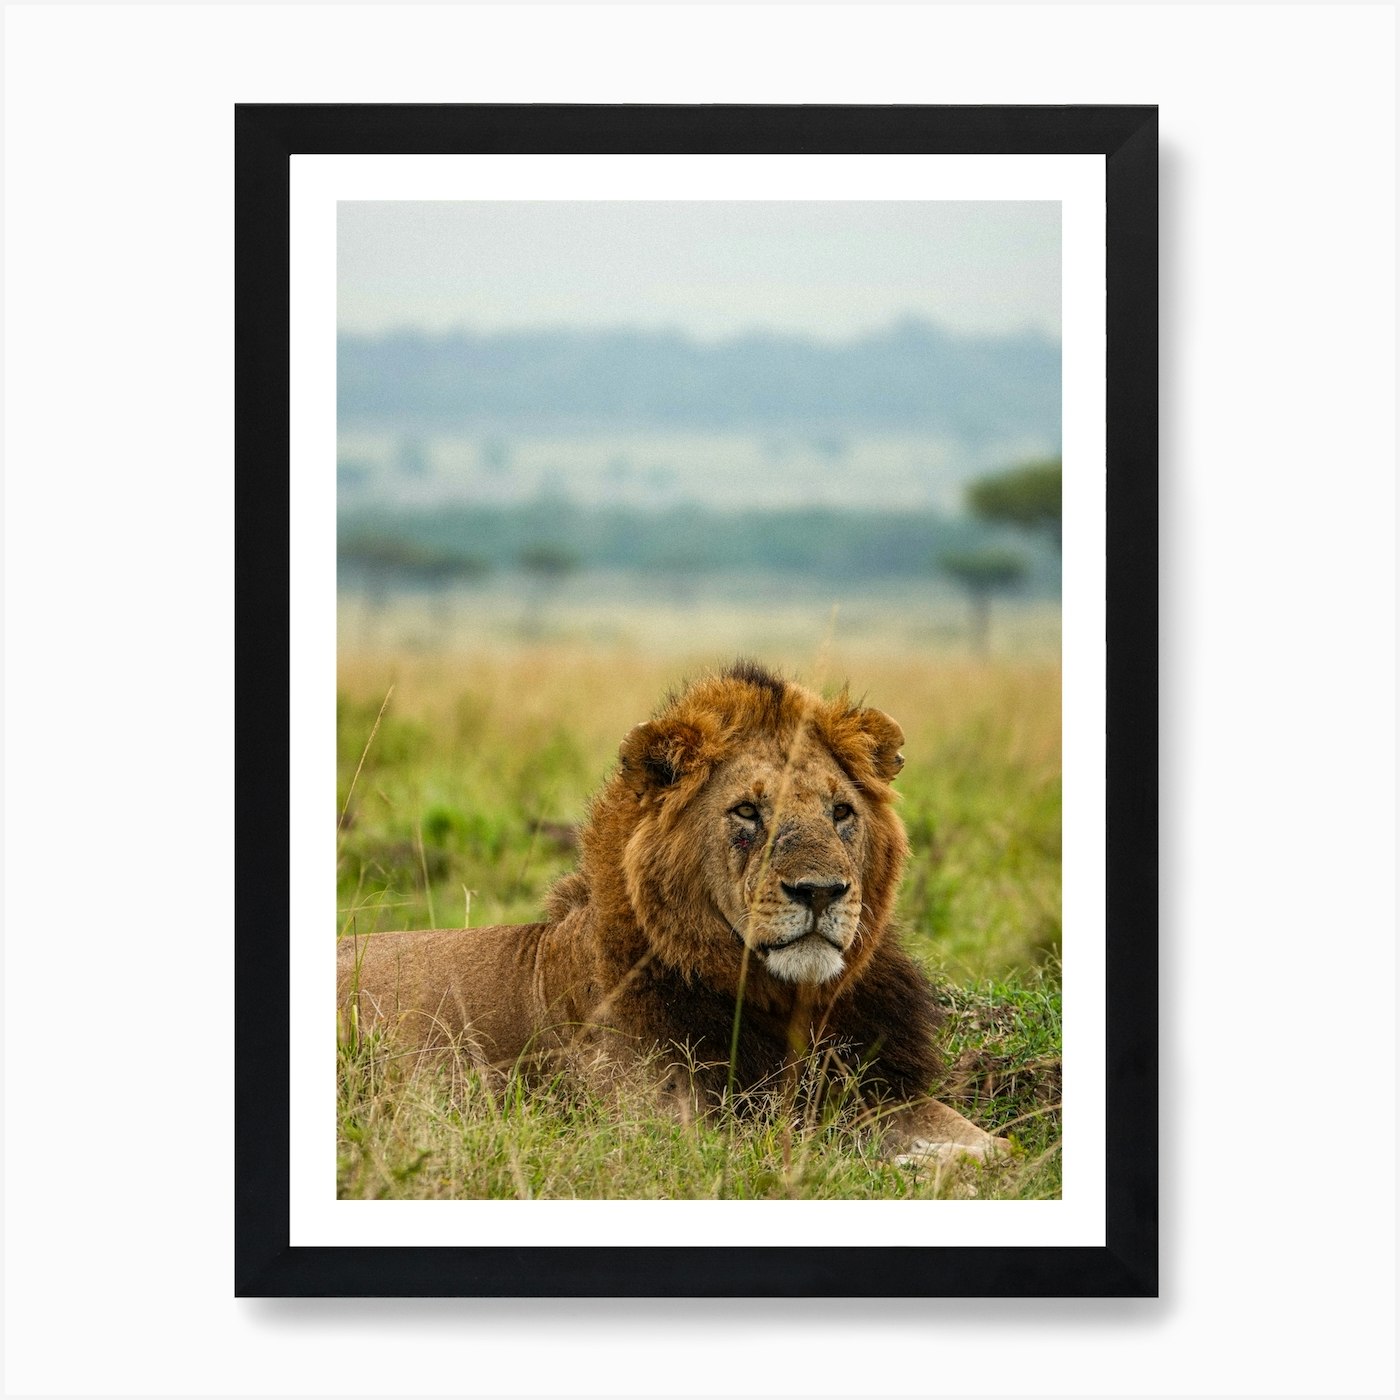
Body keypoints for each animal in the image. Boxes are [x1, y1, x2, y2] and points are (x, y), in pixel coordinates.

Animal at [338, 660, 1006, 1164]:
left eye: (841, 812)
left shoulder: (872, 1091)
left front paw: (974, 1159)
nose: (820, 891)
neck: (787, 1005)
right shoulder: (659, 1132)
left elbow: (992, 1145)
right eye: (747, 812)